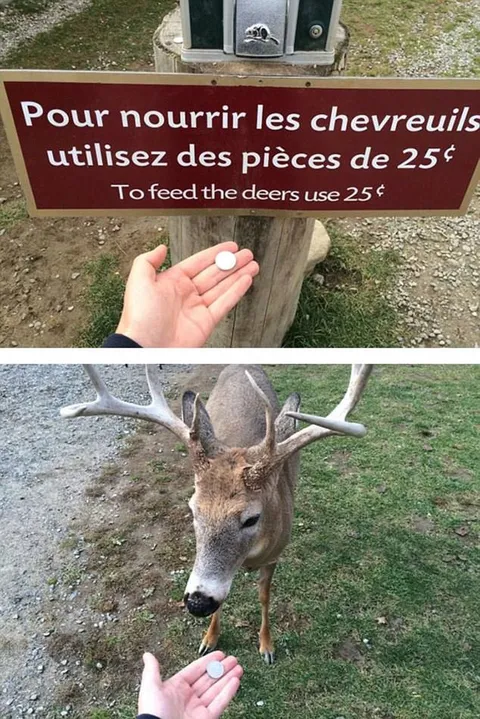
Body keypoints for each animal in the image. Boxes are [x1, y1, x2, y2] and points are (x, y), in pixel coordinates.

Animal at [61, 364, 372, 664]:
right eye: (193, 510)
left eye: (252, 518)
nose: (198, 602)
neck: (250, 557)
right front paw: (209, 639)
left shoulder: (275, 554)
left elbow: (265, 597)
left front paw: (267, 646)